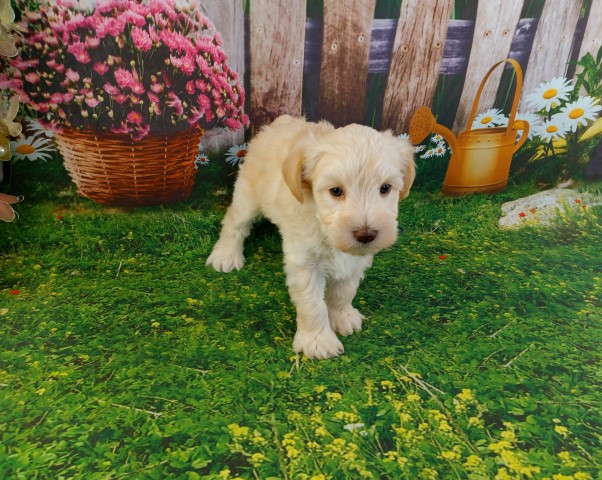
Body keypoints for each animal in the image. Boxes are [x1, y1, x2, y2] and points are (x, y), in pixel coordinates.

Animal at [205, 114, 412, 358]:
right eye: (336, 191)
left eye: (385, 188)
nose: (366, 234)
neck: (323, 227)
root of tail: (281, 121)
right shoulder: (304, 263)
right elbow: (312, 304)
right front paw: (317, 341)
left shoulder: (355, 260)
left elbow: (345, 291)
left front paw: (342, 317)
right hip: (247, 195)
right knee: (234, 223)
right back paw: (225, 255)